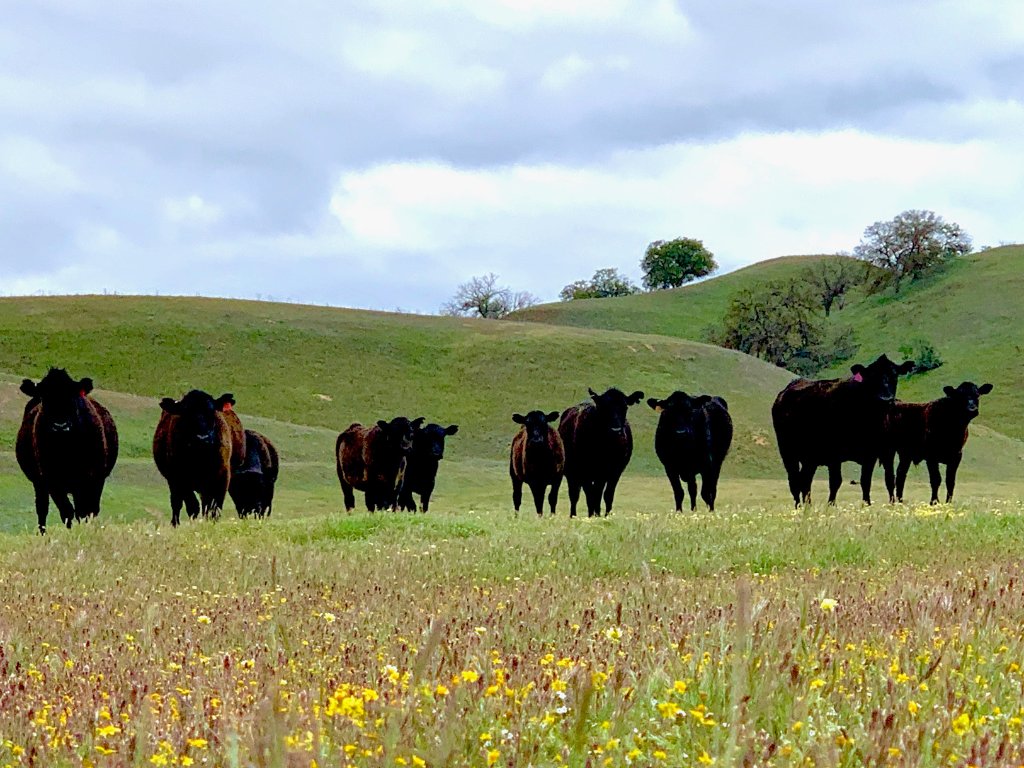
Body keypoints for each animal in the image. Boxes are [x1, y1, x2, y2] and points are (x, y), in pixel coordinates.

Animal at [16, 368, 119, 533]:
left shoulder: (91, 478)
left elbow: (85, 511)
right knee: (42, 508)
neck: (66, 449)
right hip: (39, 484)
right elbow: (67, 510)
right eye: (45, 397)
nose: (60, 426)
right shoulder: (52, 481)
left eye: (72, 396)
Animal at [153, 390, 241, 526]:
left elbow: (214, 507)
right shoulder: (180, 479)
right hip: (173, 483)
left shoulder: (222, 477)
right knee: (176, 504)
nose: (202, 438)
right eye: (186, 413)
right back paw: (175, 523)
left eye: (212, 411)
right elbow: (192, 506)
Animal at [559, 387, 644, 518]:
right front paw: (592, 516)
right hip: (572, 472)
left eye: (625, 407)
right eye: (604, 408)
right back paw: (574, 515)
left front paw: (606, 516)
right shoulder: (584, 471)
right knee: (575, 494)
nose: (616, 430)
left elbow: (607, 495)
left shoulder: (615, 471)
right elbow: (590, 495)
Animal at [772, 354, 915, 507]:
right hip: (788, 452)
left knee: (805, 479)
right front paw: (831, 505)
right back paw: (799, 507)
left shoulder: (871, 453)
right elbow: (835, 481)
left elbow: (866, 481)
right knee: (794, 480)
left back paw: (808, 506)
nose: (885, 398)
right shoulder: (834, 453)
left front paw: (866, 505)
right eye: (872, 376)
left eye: (894, 374)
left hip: (809, 457)